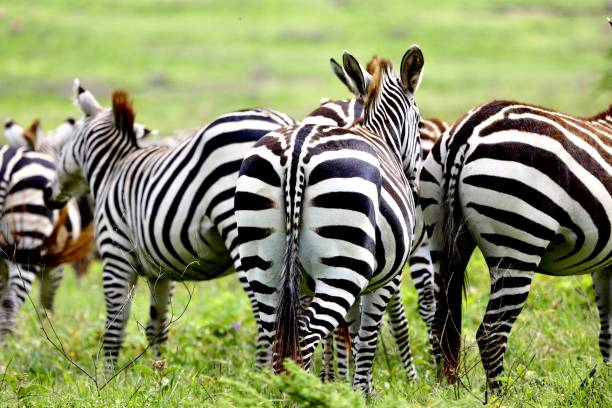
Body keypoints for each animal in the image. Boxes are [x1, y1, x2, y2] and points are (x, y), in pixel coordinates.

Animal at [0, 145, 93, 336]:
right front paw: (46, 335)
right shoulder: (55, 269)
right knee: (10, 302)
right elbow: (46, 305)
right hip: (28, 243)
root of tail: (8, 163)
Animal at [44, 81, 294, 368]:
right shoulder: (160, 273)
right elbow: (157, 328)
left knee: (268, 314)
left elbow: (115, 327)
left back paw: (262, 373)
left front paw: (107, 375)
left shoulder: (115, 254)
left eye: (62, 147)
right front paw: (158, 371)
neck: (113, 169)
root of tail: (283, 124)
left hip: (246, 234)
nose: (47, 194)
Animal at [234, 46, 426, 394]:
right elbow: (368, 335)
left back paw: (280, 394)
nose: (415, 185)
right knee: (305, 336)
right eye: (419, 124)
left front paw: (342, 386)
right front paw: (361, 393)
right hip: (343, 267)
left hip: (263, 262)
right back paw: (302, 393)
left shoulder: (308, 284)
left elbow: (350, 329)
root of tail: (297, 150)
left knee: (277, 335)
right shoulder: (386, 279)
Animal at [424, 99, 612, 392]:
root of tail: (468, 129)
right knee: (491, 334)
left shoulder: (603, 268)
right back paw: (500, 397)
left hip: (438, 240)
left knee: (440, 326)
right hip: (518, 246)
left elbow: (607, 336)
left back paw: (445, 393)